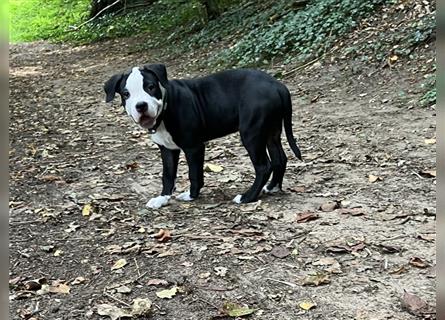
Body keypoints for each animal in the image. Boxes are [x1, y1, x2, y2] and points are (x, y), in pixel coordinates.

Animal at [103, 63, 302, 209]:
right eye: (126, 94)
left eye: (151, 87)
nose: (141, 106)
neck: (165, 108)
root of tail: (277, 85)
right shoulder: (167, 149)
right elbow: (168, 175)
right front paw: (162, 198)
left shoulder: (193, 147)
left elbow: (194, 173)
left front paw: (192, 195)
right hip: (271, 130)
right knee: (279, 158)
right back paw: (272, 187)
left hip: (251, 133)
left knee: (263, 166)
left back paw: (247, 197)